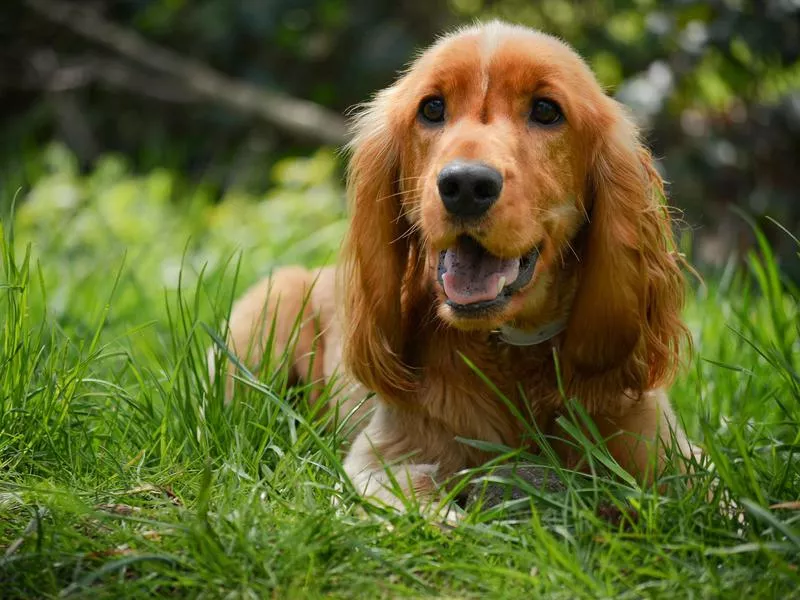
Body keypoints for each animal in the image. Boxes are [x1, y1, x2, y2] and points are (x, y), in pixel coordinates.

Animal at [217, 22, 700, 510]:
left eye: (546, 110)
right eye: (432, 108)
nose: (465, 184)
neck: (510, 351)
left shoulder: (669, 453)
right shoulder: (378, 461)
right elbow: (420, 503)